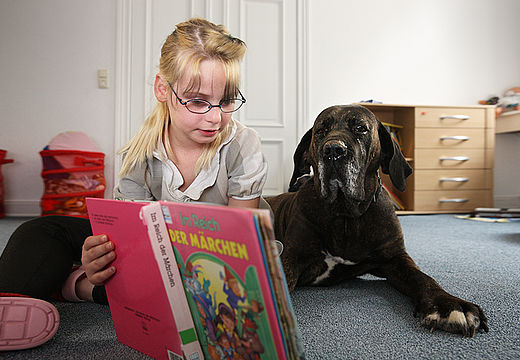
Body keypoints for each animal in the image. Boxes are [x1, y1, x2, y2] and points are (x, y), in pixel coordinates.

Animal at [266, 104, 490, 338]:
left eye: (360, 128)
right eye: (320, 131)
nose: (333, 150)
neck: (345, 215)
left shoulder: (395, 258)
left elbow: (423, 277)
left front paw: (448, 304)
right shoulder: (292, 255)